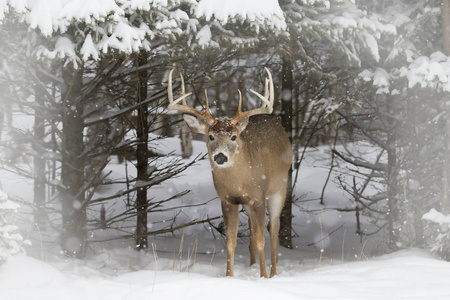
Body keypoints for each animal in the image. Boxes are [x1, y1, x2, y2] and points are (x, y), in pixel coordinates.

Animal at [168, 68, 292, 278]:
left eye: (233, 137)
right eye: (210, 136)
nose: (220, 157)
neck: (239, 181)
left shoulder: (258, 196)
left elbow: (262, 239)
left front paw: (263, 277)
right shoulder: (227, 199)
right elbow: (230, 241)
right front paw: (229, 276)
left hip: (279, 189)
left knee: (273, 228)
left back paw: (273, 272)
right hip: (248, 204)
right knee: (252, 229)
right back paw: (252, 265)